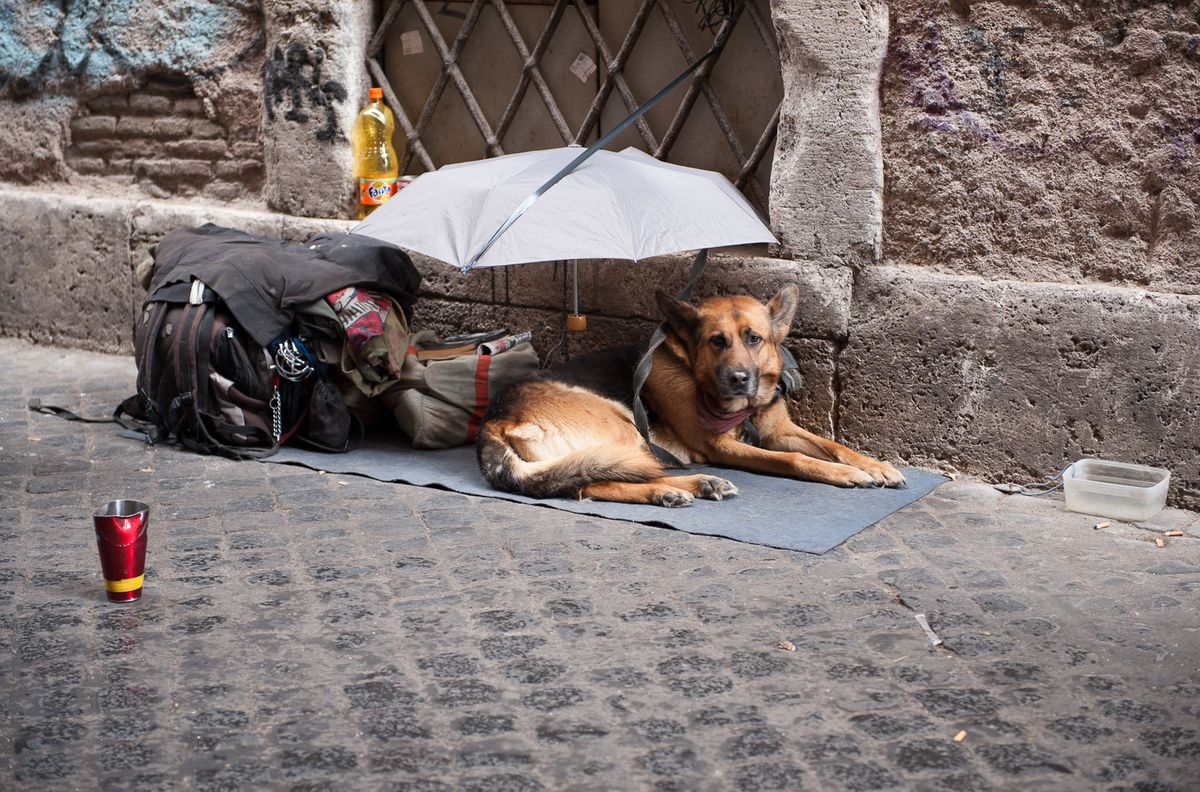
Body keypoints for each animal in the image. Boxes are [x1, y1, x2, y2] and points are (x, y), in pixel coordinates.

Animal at [472, 284, 902, 506]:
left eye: (754, 339)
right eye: (717, 342)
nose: (739, 379)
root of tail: (497, 420)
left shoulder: (778, 431)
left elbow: (833, 446)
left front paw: (874, 466)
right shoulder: (722, 447)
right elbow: (794, 460)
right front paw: (846, 474)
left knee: (587, 482)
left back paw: (672, 491)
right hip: (626, 428)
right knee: (608, 475)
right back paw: (694, 484)